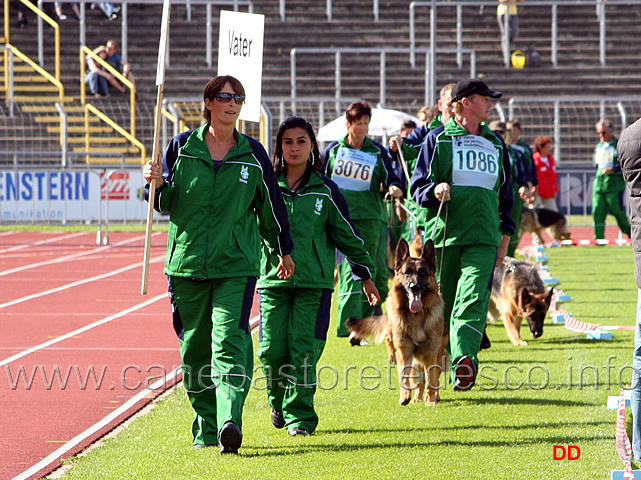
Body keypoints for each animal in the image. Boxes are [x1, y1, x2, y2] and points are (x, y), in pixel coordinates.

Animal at [344, 238, 444, 404]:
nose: (414, 287)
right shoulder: (404, 350)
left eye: (422, 273)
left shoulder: (431, 352)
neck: (416, 317)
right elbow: (404, 376)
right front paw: (405, 396)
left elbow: (431, 379)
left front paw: (430, 400)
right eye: (407, 273)